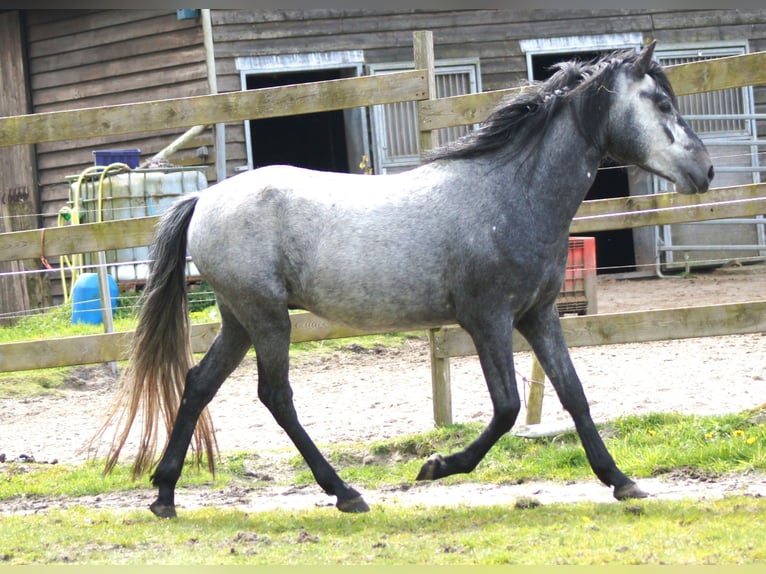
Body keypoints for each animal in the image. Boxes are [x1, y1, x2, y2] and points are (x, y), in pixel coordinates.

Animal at [94, 42, 712, 520]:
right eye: (660, 101)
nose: (704, 171)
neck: (510, 193)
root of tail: (204, 199)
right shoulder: (487, 319)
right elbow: (507, 407)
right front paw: (436, 467)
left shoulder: (538, 316)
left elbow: (574, 394)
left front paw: (622, 481)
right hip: (266, 318)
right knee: (276, 395)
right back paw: (345, 493)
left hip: (238, 319)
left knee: (199, 384)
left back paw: (165, 495)